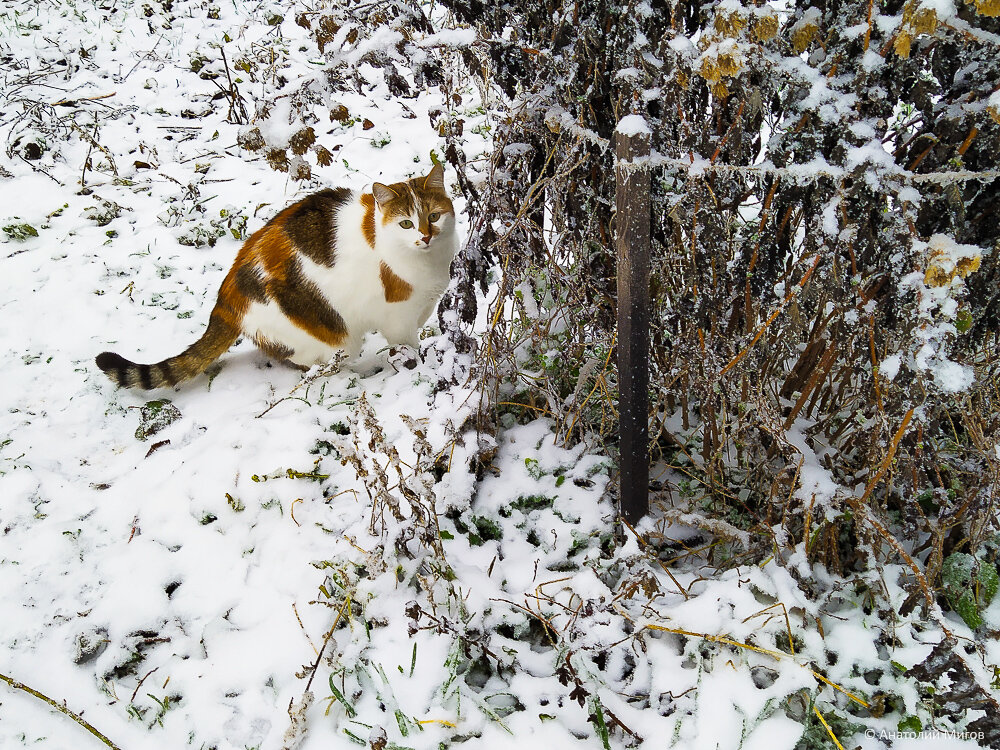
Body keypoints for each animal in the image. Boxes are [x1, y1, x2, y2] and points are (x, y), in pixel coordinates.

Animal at [97, 163, 458, 388]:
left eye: (434, 216)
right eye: (406, 224)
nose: (425, 237)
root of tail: (225, 299)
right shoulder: (397, 320)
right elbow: (408, 347)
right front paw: (418, 366)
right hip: (332, 334)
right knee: (313, 364)